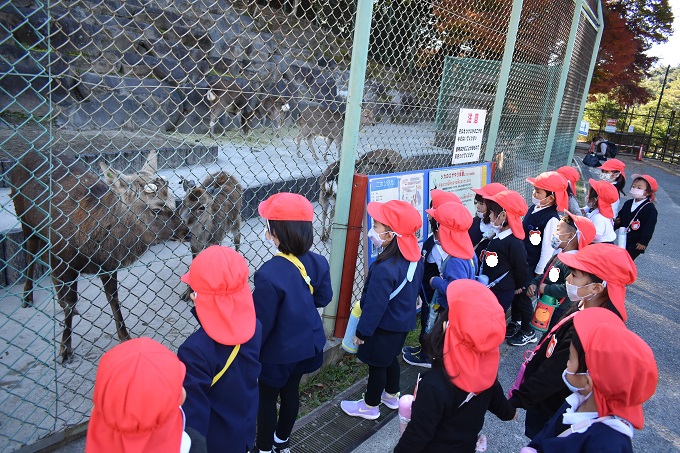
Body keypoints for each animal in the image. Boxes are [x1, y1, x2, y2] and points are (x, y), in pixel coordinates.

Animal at [12, 150, 189, 362]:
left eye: (173, 201)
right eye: (156, 209)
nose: (187, 232)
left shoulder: (107, 264)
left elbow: (113, 297)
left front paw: (125, 335)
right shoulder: (66, 258)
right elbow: (71, 302)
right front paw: (65, 349)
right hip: (24, 218)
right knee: (30, 254)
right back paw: (27, 297)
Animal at [181, 170, 244, 300]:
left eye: (202, 207)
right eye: (183, 201)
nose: (183, 221)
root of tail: (225, 172)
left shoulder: (216, 240)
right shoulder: (194, 245)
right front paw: (187, 293)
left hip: (236, 219)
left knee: (238, 239)